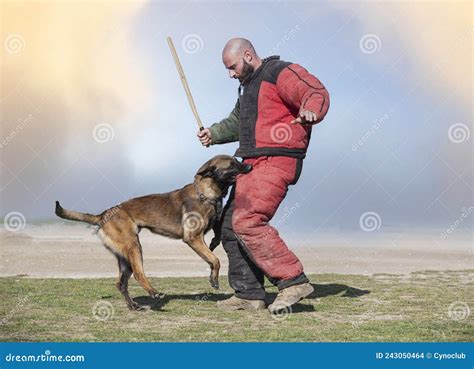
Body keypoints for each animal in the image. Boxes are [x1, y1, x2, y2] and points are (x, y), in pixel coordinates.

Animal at [54, 154, 252, 310]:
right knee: (138, 274)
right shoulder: (193, 238)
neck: (206, 193)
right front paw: (214, 279)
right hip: (134, 246)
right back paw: (153, 292)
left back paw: (133, 306)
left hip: (125, 257)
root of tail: (103, 214)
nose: (250, 166)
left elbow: (214, 245)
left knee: (121, 283)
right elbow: (215, 259)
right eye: (232, 164)